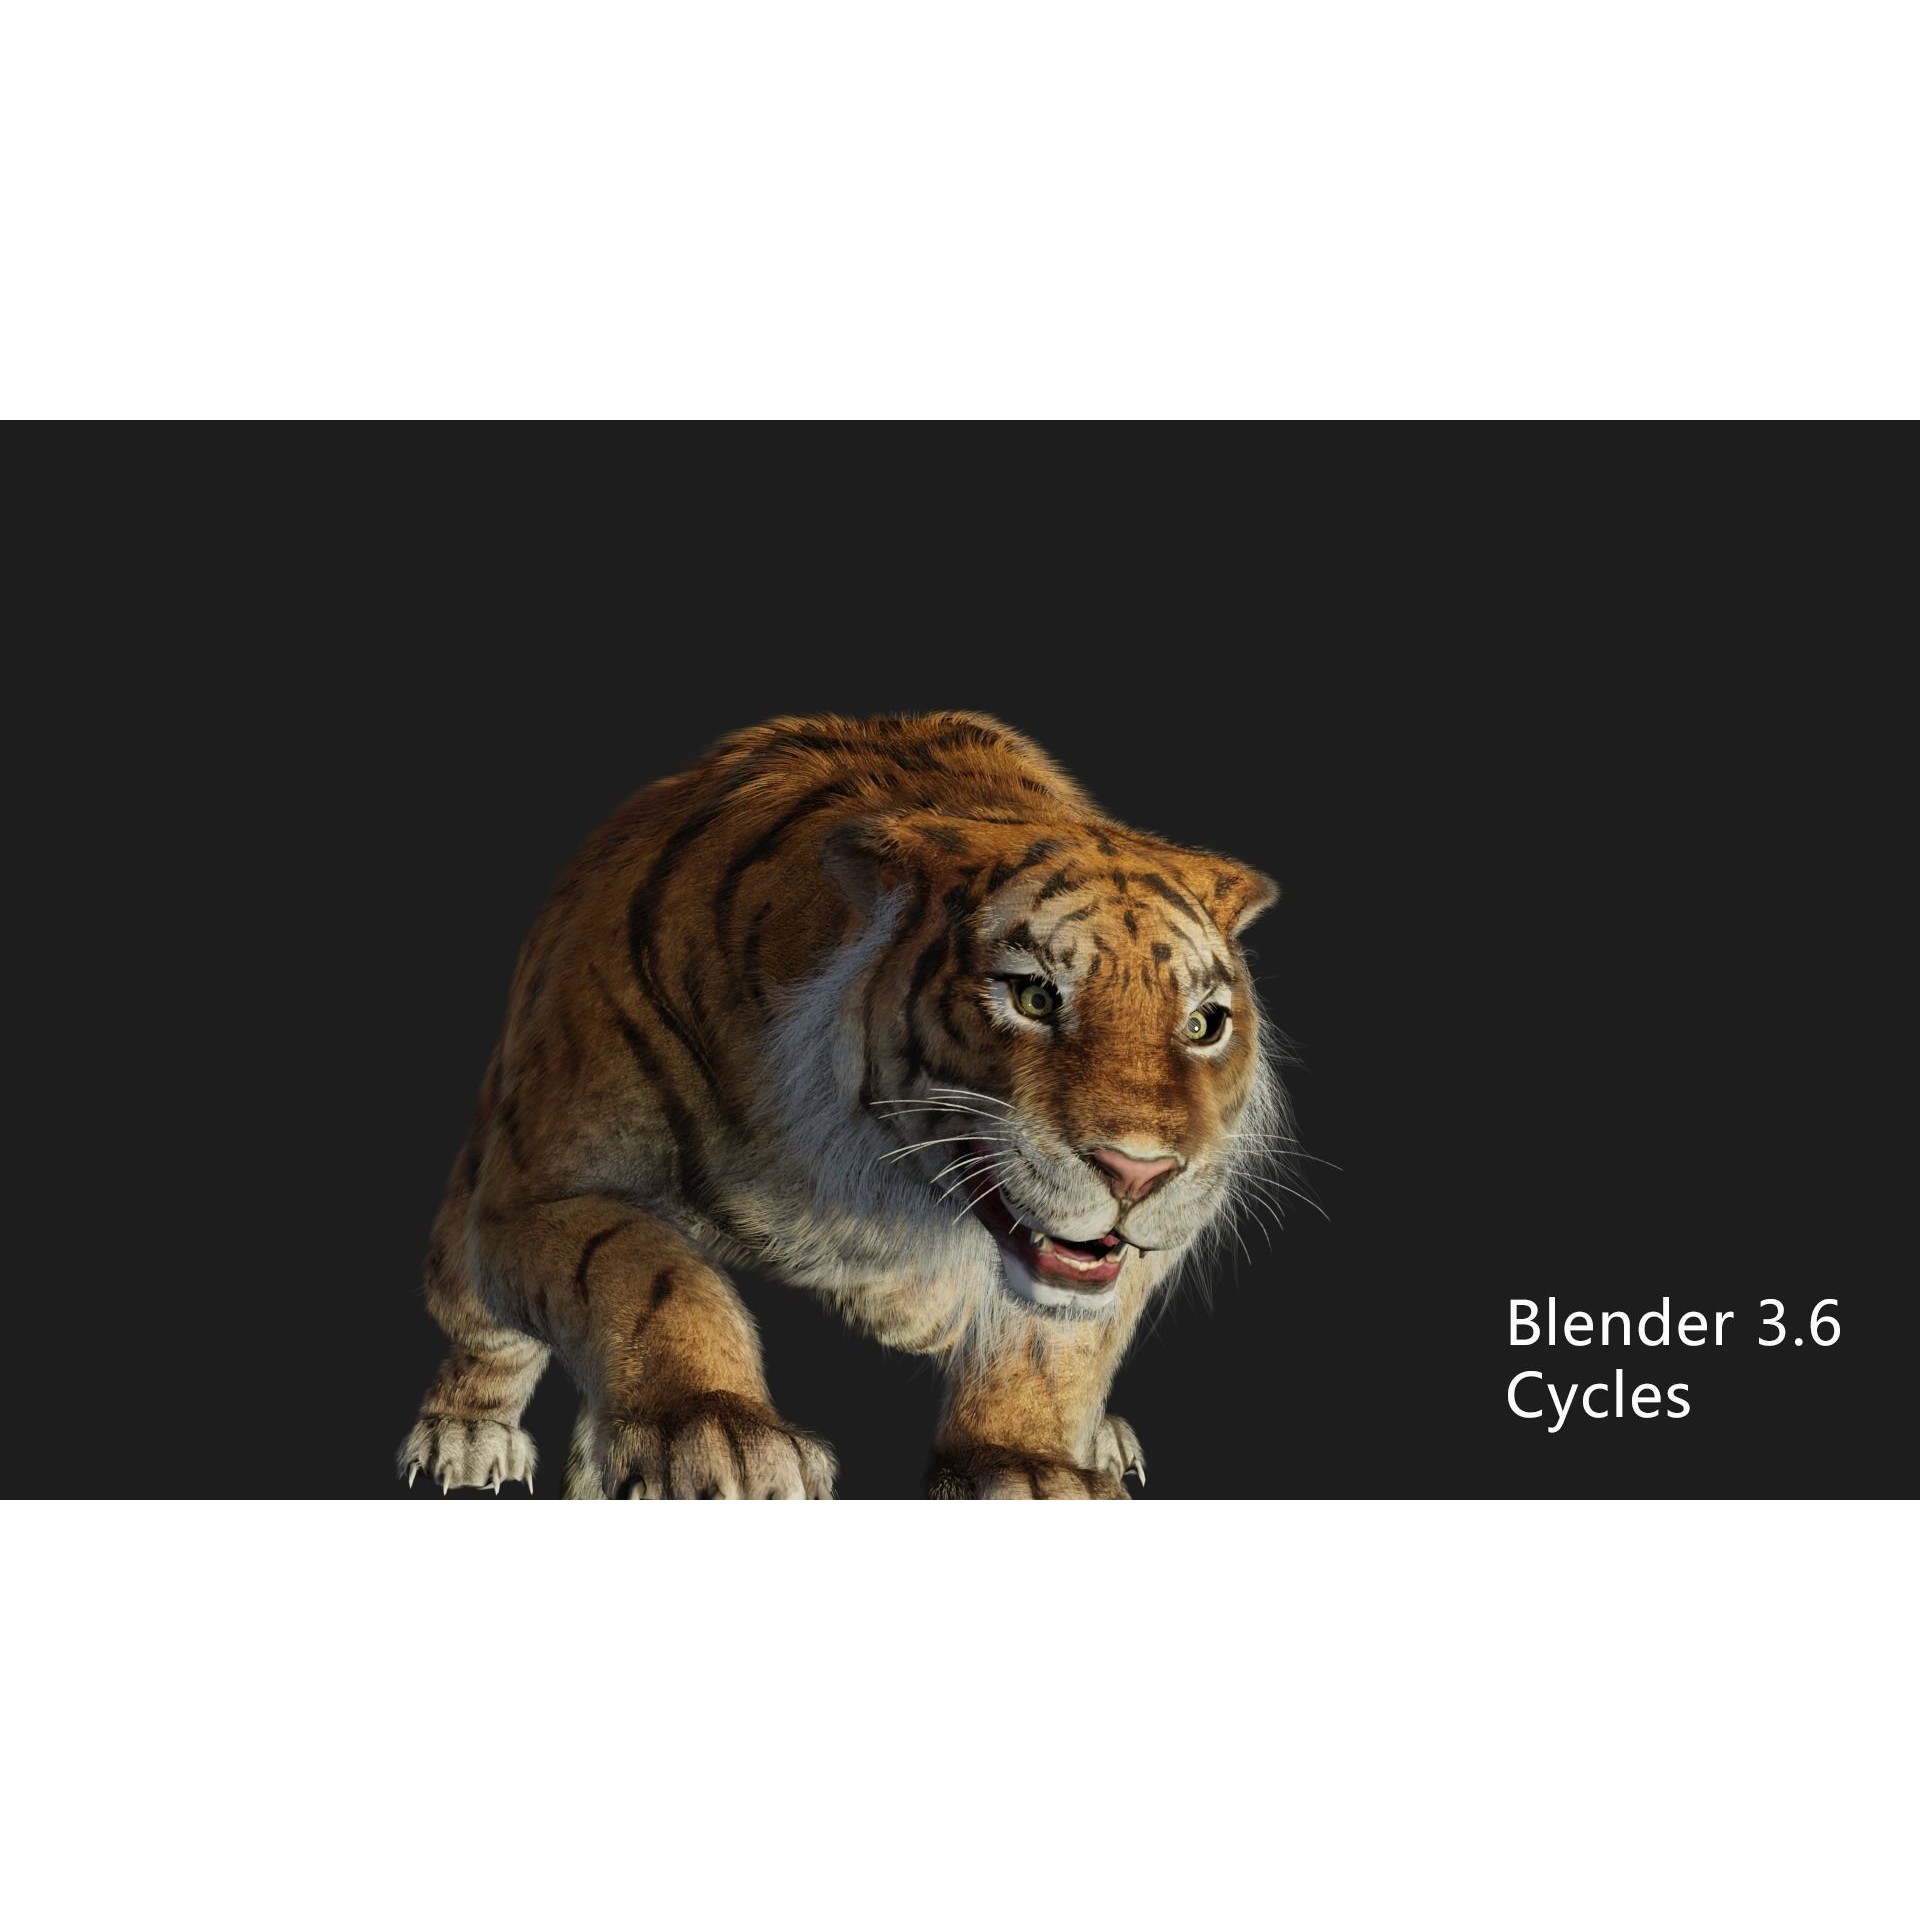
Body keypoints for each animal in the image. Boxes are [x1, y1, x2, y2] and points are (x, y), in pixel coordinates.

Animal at [397, 711, 1295, 1498]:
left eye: (1203, 1024)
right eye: (1035, 997)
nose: (1138, 1172)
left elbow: (1052, 1345)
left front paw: (1028, 1466)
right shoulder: (534, 1196)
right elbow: (649, 1270)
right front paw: (715, 1435)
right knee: (484, 1333)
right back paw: (467, 1435)